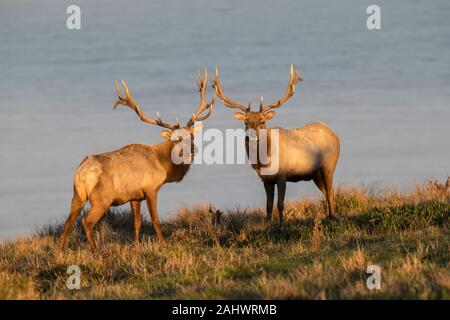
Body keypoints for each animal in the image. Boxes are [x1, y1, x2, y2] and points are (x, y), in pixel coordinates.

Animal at [60, 69, 215, 250]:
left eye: (192, 136)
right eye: (176, 139)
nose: (191, 150)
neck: (164, 167)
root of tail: (82, 172)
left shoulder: (134, 196)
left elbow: (137, 223)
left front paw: (135, 245)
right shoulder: (150, 189)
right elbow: (155, 220)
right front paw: (163, 243)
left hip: (77, 194)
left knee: (68, 222)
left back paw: (61, 250)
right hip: (101, 199)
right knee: (87, 221)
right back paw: (95, 250)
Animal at [213, 65, 340, 222]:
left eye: (262, 121)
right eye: (246, 122)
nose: (251, 136)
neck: (264, 162)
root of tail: (334, 134)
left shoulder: (282, 175)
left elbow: (280, 204)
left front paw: (282, 223)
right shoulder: (265, 179)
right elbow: (268, 205)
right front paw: (269, 223)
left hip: (329, 165)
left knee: (330, 191)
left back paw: (333, 217)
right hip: (315, 173)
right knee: (328, 192)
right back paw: (329, 216)